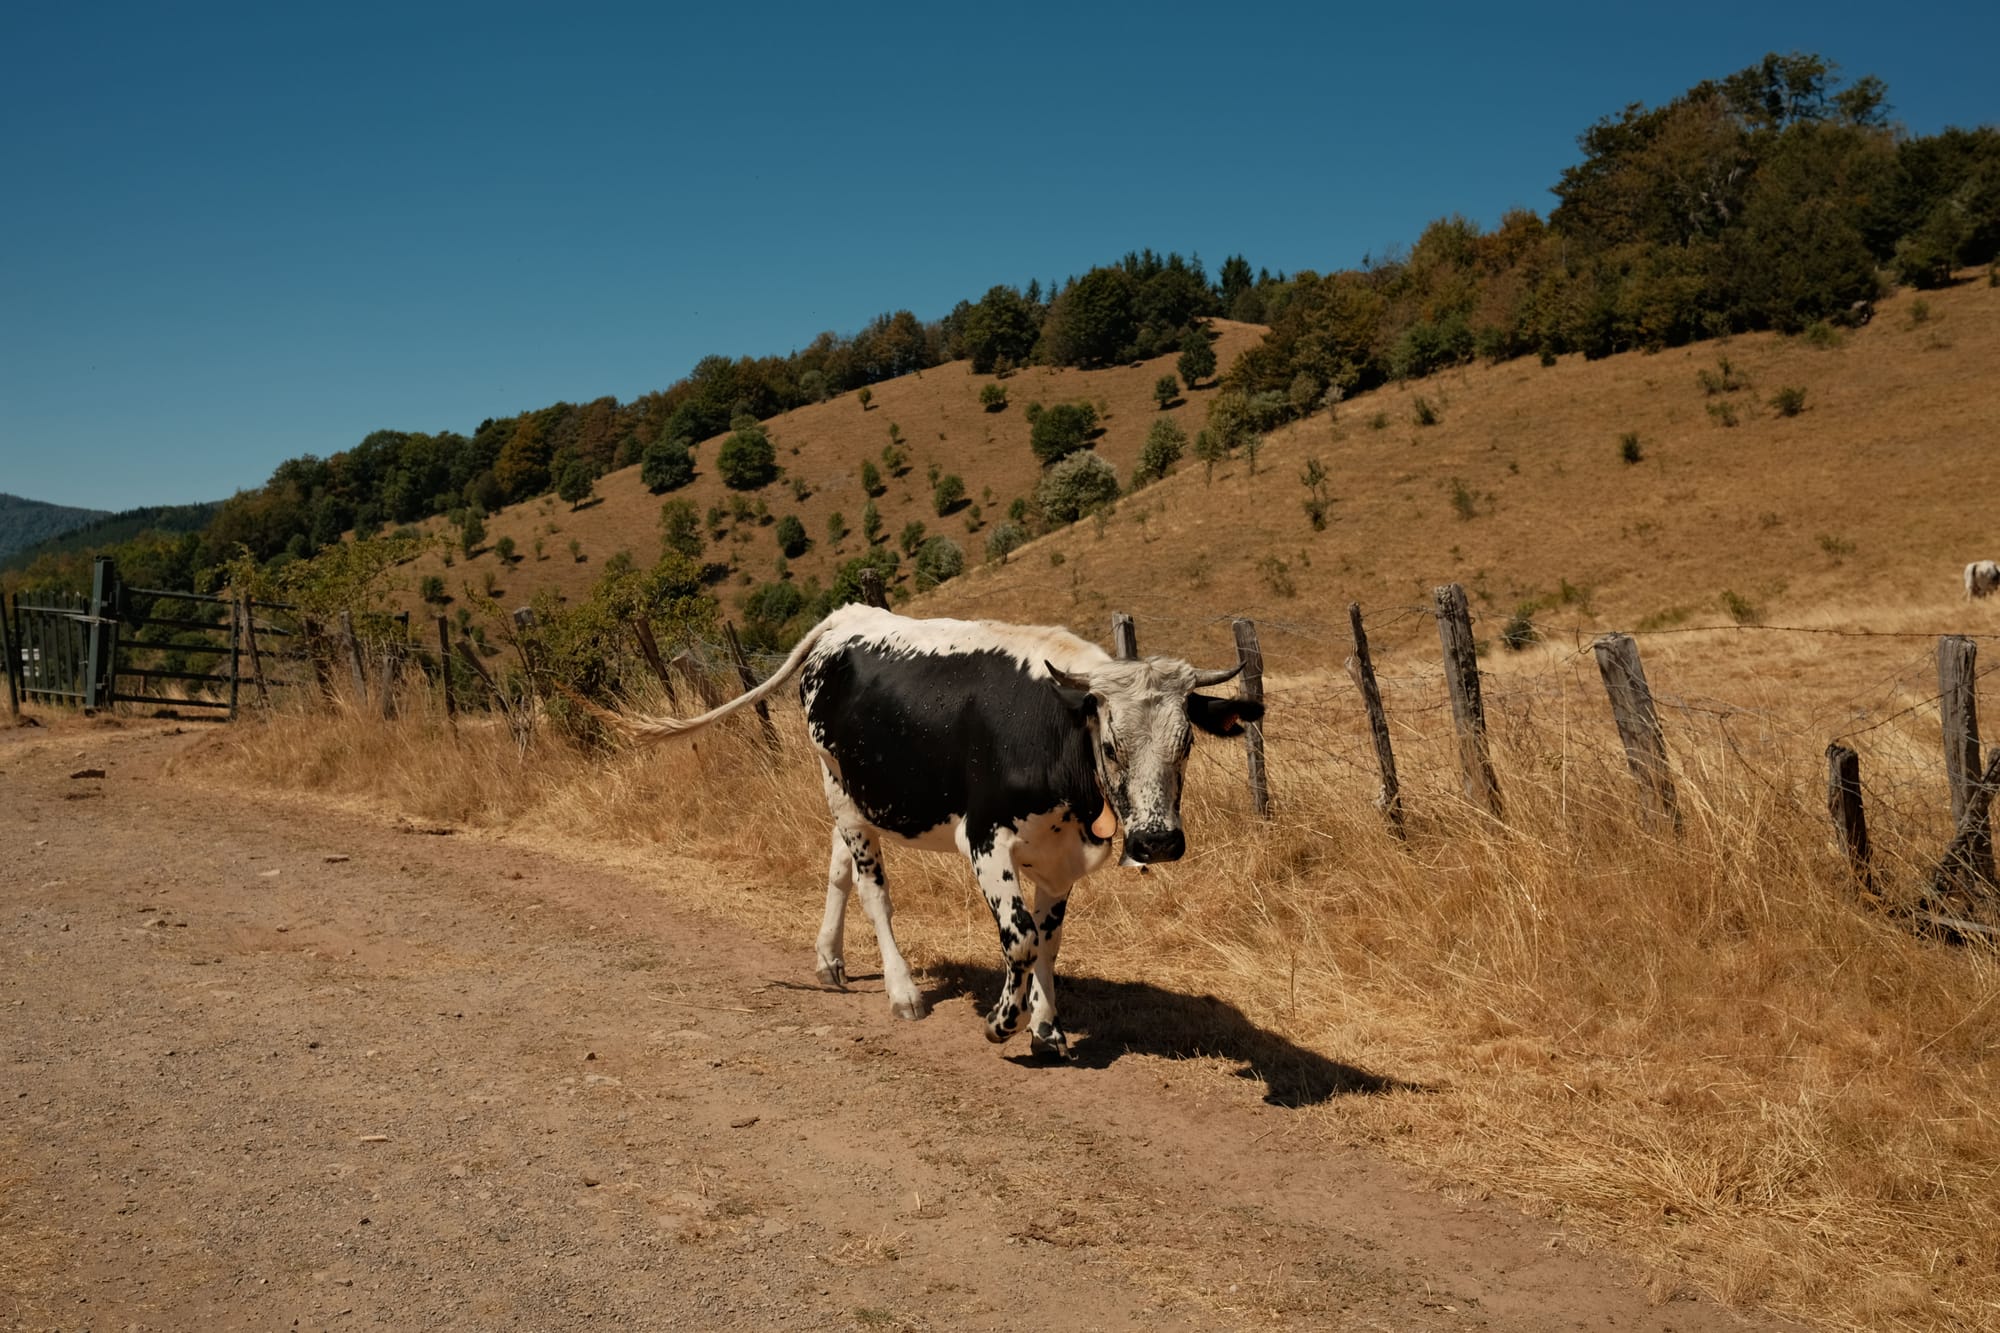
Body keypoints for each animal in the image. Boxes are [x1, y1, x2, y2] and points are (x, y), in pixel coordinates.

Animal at [616, 608, 1256, 1056]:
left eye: (1187, 742)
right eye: (1111, 745)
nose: (1157, 842)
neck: (1056, 731)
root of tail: (847, 617)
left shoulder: (1060, 857)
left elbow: (1049, 942)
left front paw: (1046, 1027)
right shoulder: (985, 839)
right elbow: (1021, 938)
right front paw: (1003, 1023)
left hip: (856, 793)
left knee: (838, 868)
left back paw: (828, 960)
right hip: (840, 789)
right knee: (873, 892)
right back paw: (902, 991)